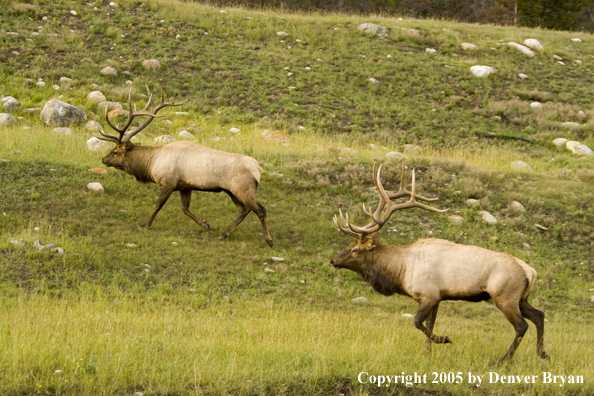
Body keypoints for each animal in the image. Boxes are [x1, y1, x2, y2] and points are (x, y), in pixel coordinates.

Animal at [96, 88, 274, 248]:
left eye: (116, 151)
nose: (104, 159)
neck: (151, 164)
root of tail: (258, 169)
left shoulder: (168, 182)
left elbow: (157, 205)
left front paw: (144, 225)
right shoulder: (184, 186)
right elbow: (185, 208)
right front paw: (205, 224)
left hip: (243, 188)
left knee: (260, 210)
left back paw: (269, 241)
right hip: (231, 190)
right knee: (243, 210)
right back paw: (224, 234)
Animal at [328, 163, 544, 362]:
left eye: (355, 249)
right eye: (350, 245)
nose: (333, 260)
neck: (401, 271)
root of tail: (530, 271)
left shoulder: (428, 294)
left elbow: (417, 322)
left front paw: (444, 339)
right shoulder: (438, 297)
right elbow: (430, 324)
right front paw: (427, 352)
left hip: (505, 296)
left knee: (522, 325)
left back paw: (504, 359)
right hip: (520, 298)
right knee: (539, 315)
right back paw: (543, 354)